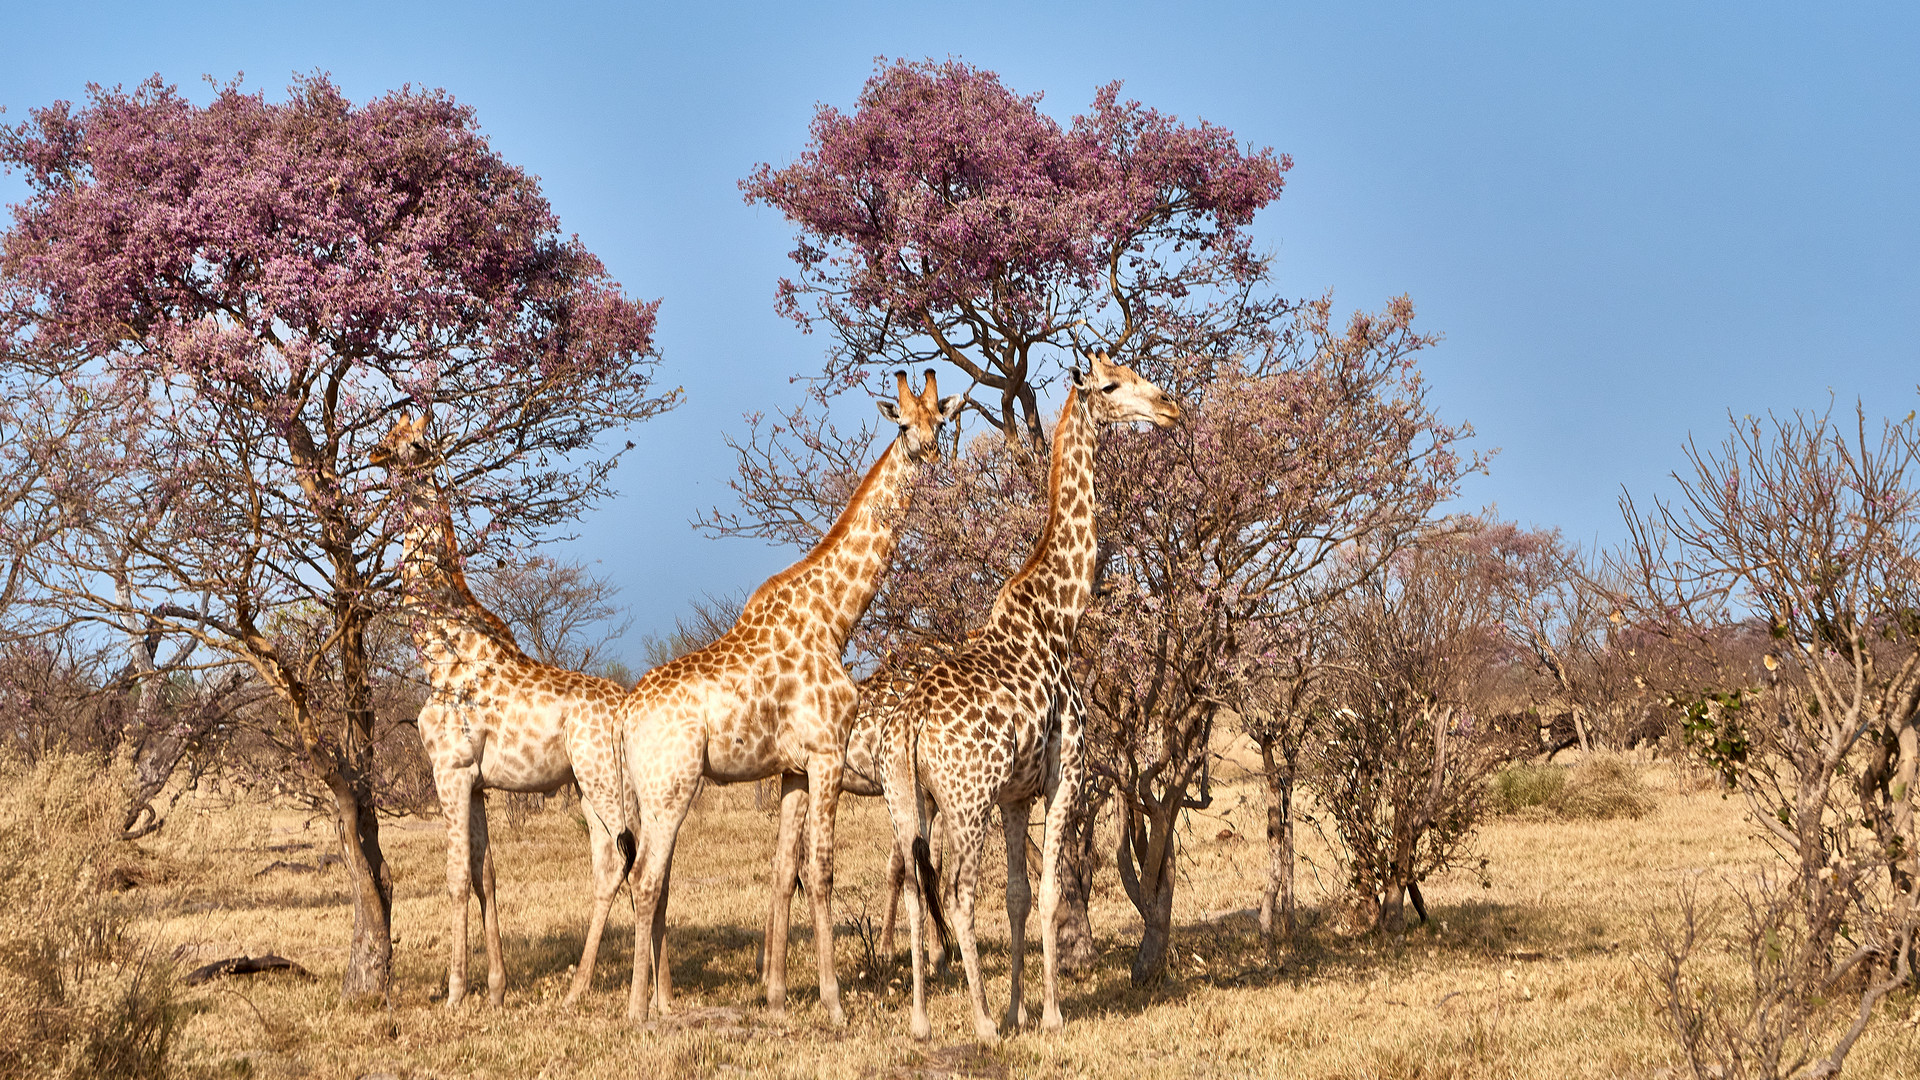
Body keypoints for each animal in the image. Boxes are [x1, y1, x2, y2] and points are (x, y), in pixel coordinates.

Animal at [374, 413, 637, 1006]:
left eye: (420, 442)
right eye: (391, 437)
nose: (387, 457)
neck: (438, 648)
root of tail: (633, 708)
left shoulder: (448, 770)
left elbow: (454, 878)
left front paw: (454, 991)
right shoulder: (475, 781)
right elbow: (486, 874)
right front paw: (495, 987)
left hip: (601, 777)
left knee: (624, 860)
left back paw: (608, 989)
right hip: (590, 784)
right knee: (619, 862)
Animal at [614, 367, 960, 1014]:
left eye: (940, 420)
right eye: (902, 424)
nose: (927, 455)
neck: (833, 618)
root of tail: (625, 714)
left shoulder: (794, 769)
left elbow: (783, 872)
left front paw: (775, 994)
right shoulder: (826, 756)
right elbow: (820, 871)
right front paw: (834, 1002)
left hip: (650, 791)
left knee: (653, 878)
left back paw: (662, 1001)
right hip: (674, 785)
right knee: (647, 879)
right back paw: (640, 1010)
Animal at [887, 351, 1182, 1037]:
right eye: (1111, 385)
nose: (1169, 408)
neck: (1058, 615)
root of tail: (909, 724)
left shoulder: (1016, 794)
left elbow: (1019, 896)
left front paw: (1020, 1007)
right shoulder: (1063, 770)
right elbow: (1051, 894)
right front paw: (1046, 1015)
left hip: (909, 800)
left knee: (916, 890)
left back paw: (921, 1021)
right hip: (965, 802)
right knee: (959, 894)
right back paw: (980, 1022)